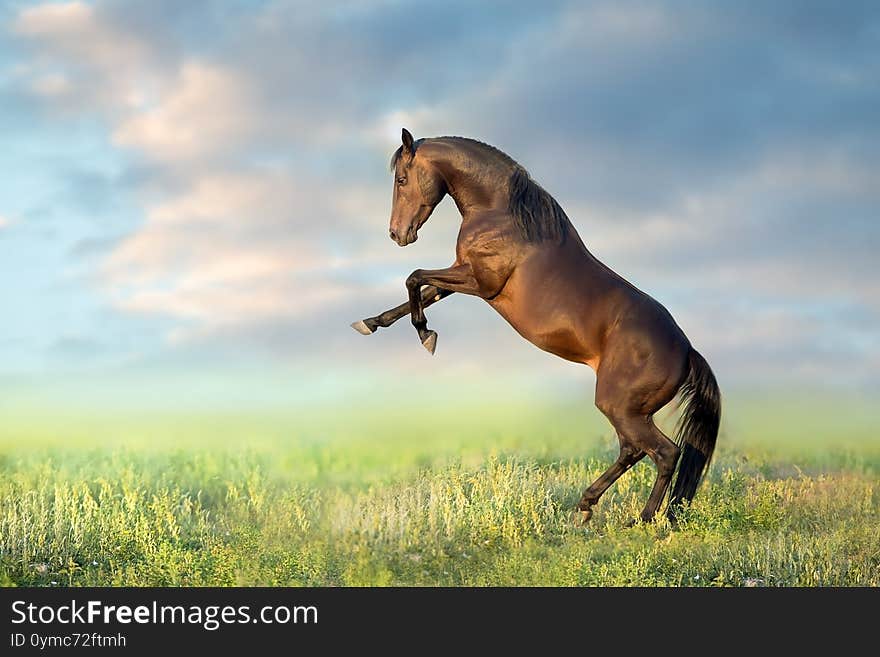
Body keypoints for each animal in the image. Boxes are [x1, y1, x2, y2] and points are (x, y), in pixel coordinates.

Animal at [350, 129, 720, 524]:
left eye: (401, 179)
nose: (396, 234)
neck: (500, 213)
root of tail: (686, 351)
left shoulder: (479, 281)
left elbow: (414, 277)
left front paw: (425, 335)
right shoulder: (463, 275)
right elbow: (419, 293)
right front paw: (370, 323)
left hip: (620, 407)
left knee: (663, 453)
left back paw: (643, 519)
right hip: (630, 412)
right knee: (633, 450)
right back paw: (586, 506)